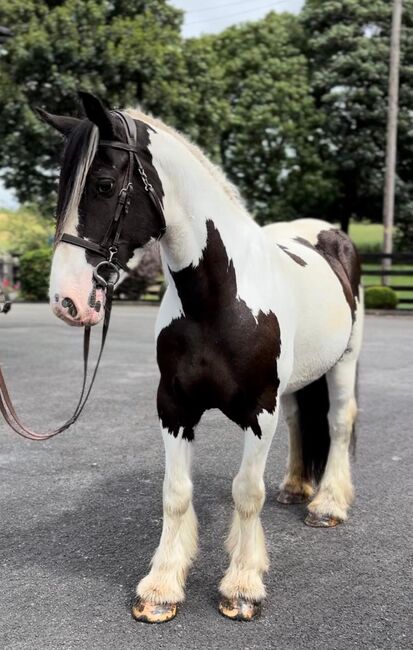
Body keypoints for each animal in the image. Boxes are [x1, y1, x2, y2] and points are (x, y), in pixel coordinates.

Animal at [37, 92, 362, 624]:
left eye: (103, 185)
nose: (68, 300)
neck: (219, 298)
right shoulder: (174, 408)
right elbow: (175, 493)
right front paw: (161, 588)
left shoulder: (260, 412)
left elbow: (246, 492)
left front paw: (243, 586)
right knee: (302, 422)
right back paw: (296, 488)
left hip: (344, 362)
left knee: (337, 422)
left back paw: (327, 505)